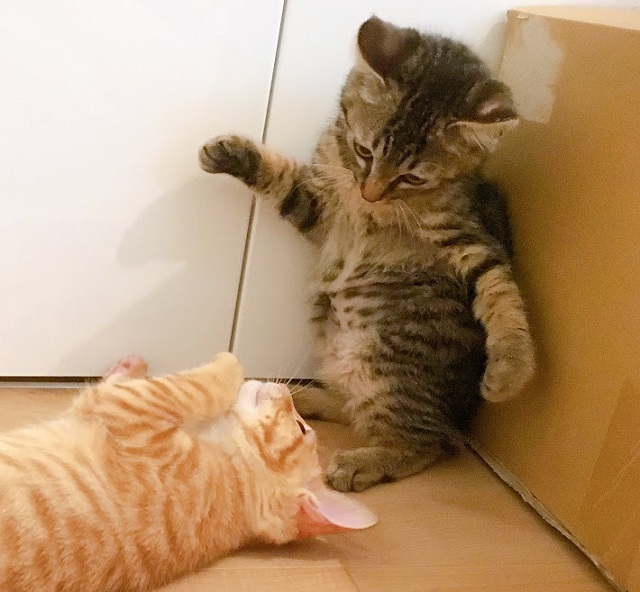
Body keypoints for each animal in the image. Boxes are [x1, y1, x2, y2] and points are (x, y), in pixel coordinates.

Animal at [0, 353, 376, 592]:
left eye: (300, 427)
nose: (286, 390)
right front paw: (129, 366)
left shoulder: (130, 409)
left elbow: (193, 386)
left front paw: (230, 357)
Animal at [198, 16, 534, 492]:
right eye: (363, 151)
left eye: (412, 178)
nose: (370, 193)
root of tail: (455, 415)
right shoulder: (321, 209)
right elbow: (284, 179)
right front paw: (232, 154)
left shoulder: (471, 238)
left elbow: (501, 290)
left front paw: (510, 369)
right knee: (357, 407)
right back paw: (302, 397)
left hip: (385, 368)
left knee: (425, 442)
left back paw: (363, 461)